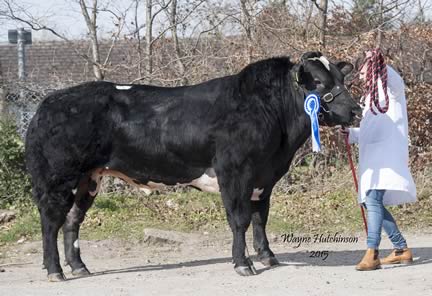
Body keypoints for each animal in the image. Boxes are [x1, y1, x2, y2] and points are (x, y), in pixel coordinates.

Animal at [24, 52, 362, 280]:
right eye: (317, 82)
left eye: (342, 79)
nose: (356, 111)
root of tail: (48, 104)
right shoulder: (234, 172)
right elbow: (240, 219)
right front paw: (243, 264)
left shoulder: (264, 178)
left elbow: (260, 218)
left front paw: (268, 256)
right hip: (58, 178)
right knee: (51, 221)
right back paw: (55, 271)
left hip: (88, 178)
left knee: (72, 220)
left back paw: (79, 267)